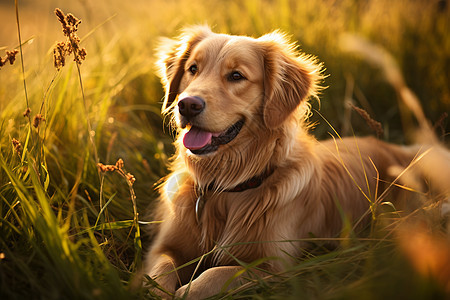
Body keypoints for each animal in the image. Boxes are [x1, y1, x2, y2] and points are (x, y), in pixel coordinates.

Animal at [145, 25, 422, 298]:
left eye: (236, 76)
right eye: (193, 69)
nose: (187, 105)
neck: (226, 188)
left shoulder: (274, 269)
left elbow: (215, 275)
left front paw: (189, 289)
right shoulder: (164, 247)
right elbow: (159, 273)